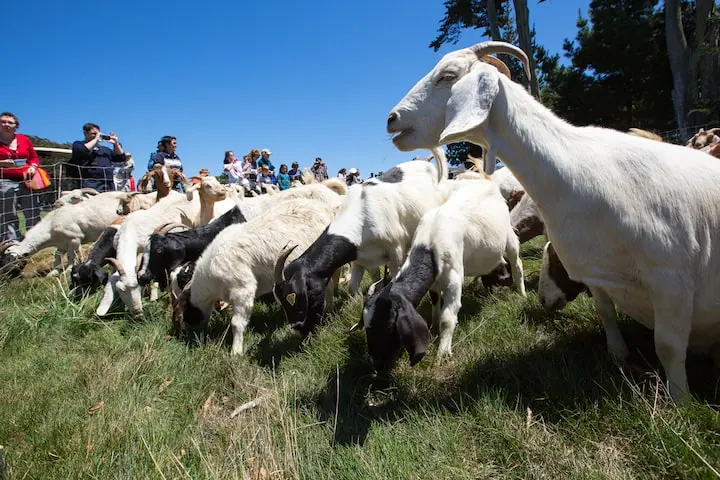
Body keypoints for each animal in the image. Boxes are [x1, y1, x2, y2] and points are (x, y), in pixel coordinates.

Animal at [272, 158, 448, 334]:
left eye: (295, 298)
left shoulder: (395, 251)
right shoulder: (360, 259)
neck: (362, 218)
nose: (298, 329)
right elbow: (353, 288)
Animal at [348, 174, 524, 370]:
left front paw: (443, 353)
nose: (373, 363)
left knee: (517, 263)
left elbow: (447, 318)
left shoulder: (454, 281)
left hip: (509, 234)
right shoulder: (433, 283)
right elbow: (434, 302)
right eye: (366, 327)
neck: (430, 246)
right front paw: (433, 326)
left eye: (387, 327)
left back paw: (521, 293)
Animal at [388, 40, 720, 402]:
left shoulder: (671, 277)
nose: (391, 119)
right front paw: (618, 356)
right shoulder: (595, 270)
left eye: (447, 75)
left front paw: (680, 401)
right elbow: (606, 312)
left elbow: (669, 347)